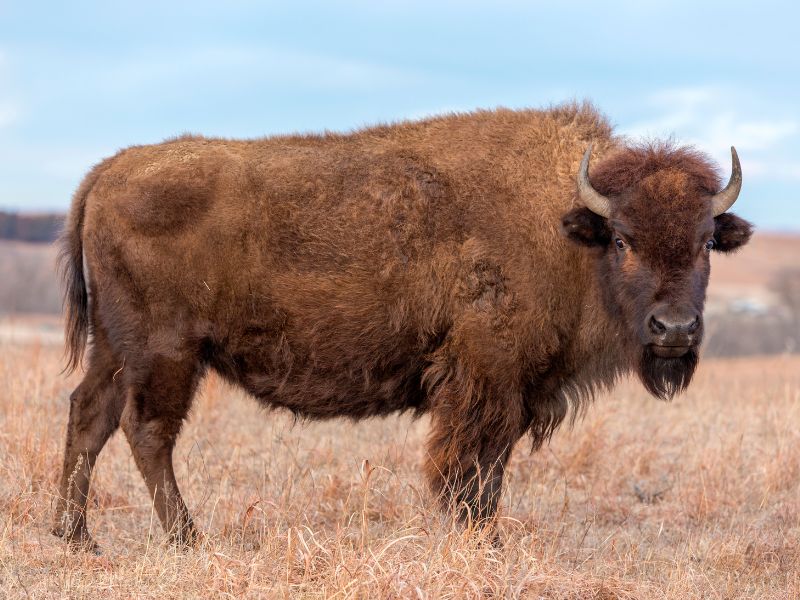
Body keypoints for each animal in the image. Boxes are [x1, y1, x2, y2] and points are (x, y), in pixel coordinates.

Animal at [54, 102, 752, 548]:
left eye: (704, 244)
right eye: (625, 240)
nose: (674, 329)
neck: (567, 228)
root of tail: (107, 171)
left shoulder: (512, 389)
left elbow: (490, 468)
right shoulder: (486, 378)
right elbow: (471, 467)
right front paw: (482, 542)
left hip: (115, 347)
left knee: (89, 414)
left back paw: (74, 536)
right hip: (166, 351)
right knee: (146, 431)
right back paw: (186, 539)